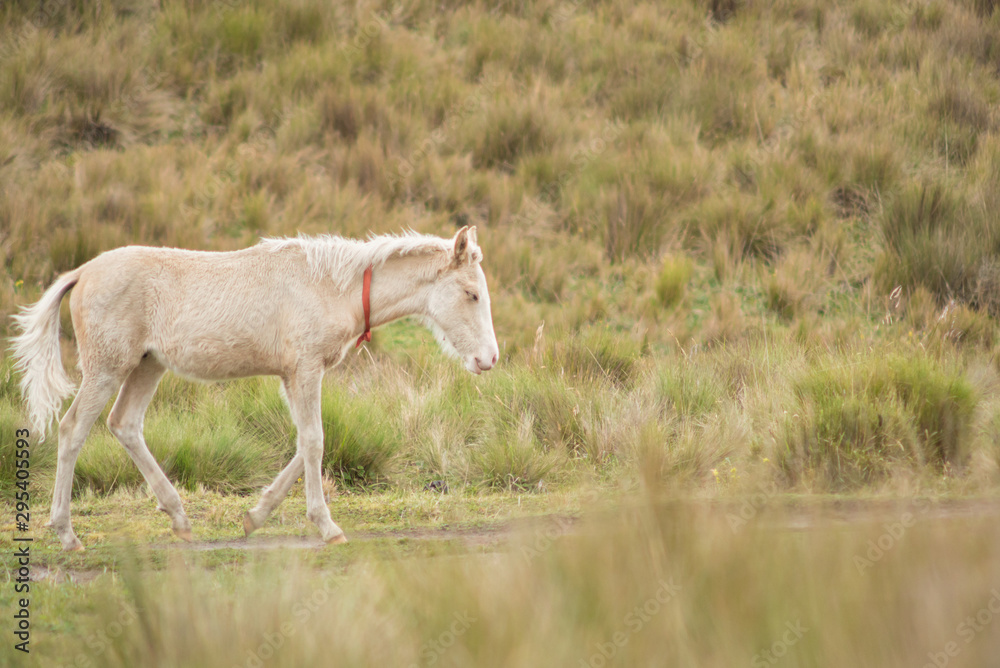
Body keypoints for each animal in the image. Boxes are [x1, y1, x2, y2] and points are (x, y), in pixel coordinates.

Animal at [10, 226, 499, 551]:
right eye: (472, 294)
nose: (489, 359)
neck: (329, 286)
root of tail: (82, 271)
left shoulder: (292, 376)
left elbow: (304, 444)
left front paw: (254, 517)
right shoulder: (305, 370)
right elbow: (315, 441)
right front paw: (327, 527)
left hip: (148, 366)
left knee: (124, 424)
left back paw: (179, 517)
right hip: (107, 368)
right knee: (73, 429)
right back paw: (67, 533)